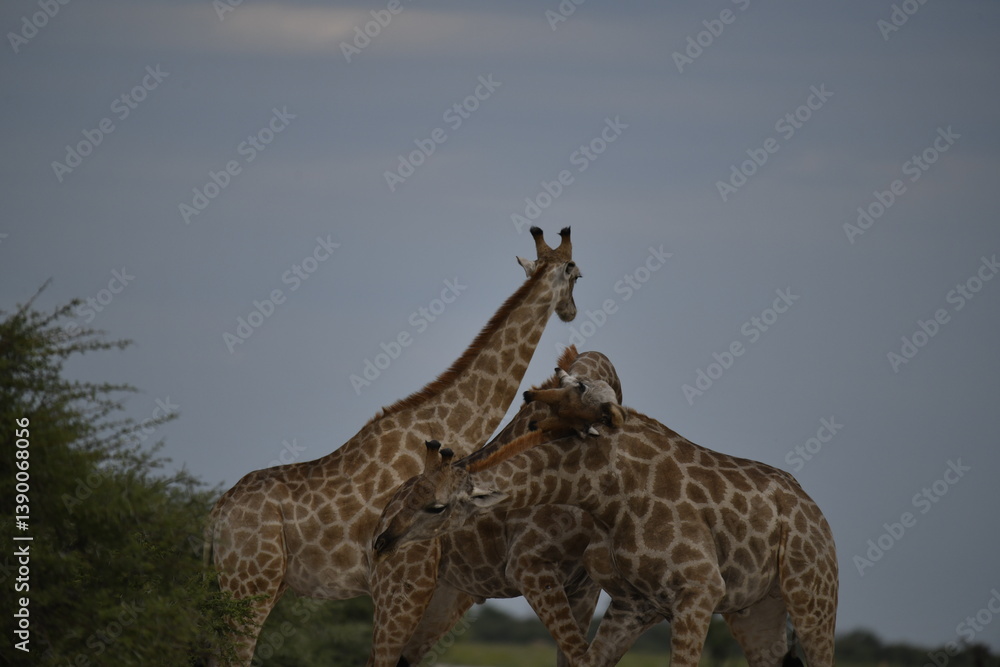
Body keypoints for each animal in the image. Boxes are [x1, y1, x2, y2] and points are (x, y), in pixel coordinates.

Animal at [206, 227, 582, 666]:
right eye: (578, 275)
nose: (571, 312)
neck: (447, 425)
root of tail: (216, 515)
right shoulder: (400, 580)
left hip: (244, 583)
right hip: (252, 580)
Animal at [373, 409, 839, 667]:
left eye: (436, 507)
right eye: (407, 494)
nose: (381, 542)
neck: (603, 483)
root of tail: (813, 508)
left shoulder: (699, 589)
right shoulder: (637, 604)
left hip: (812, 595)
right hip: (756, 607)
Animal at [379, 347, 622, 666]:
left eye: (580, 423)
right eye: (548, 412)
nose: (384, 543)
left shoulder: (586, 588)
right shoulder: (529, 568)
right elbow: (580, 655)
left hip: (445, 596)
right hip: (400, 594)